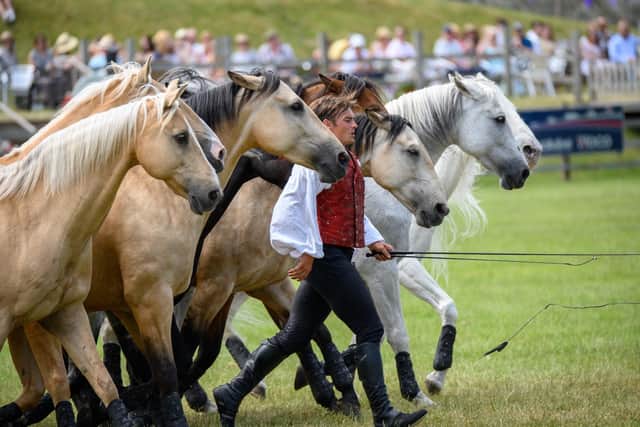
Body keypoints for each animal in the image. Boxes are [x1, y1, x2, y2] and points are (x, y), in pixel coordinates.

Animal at [0, 85, 222, 427]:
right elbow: (61, 382)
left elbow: (103, 381)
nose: (213, 190)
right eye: (181, 136)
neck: (33, 216)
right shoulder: (25, 321)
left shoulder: (65, 312)